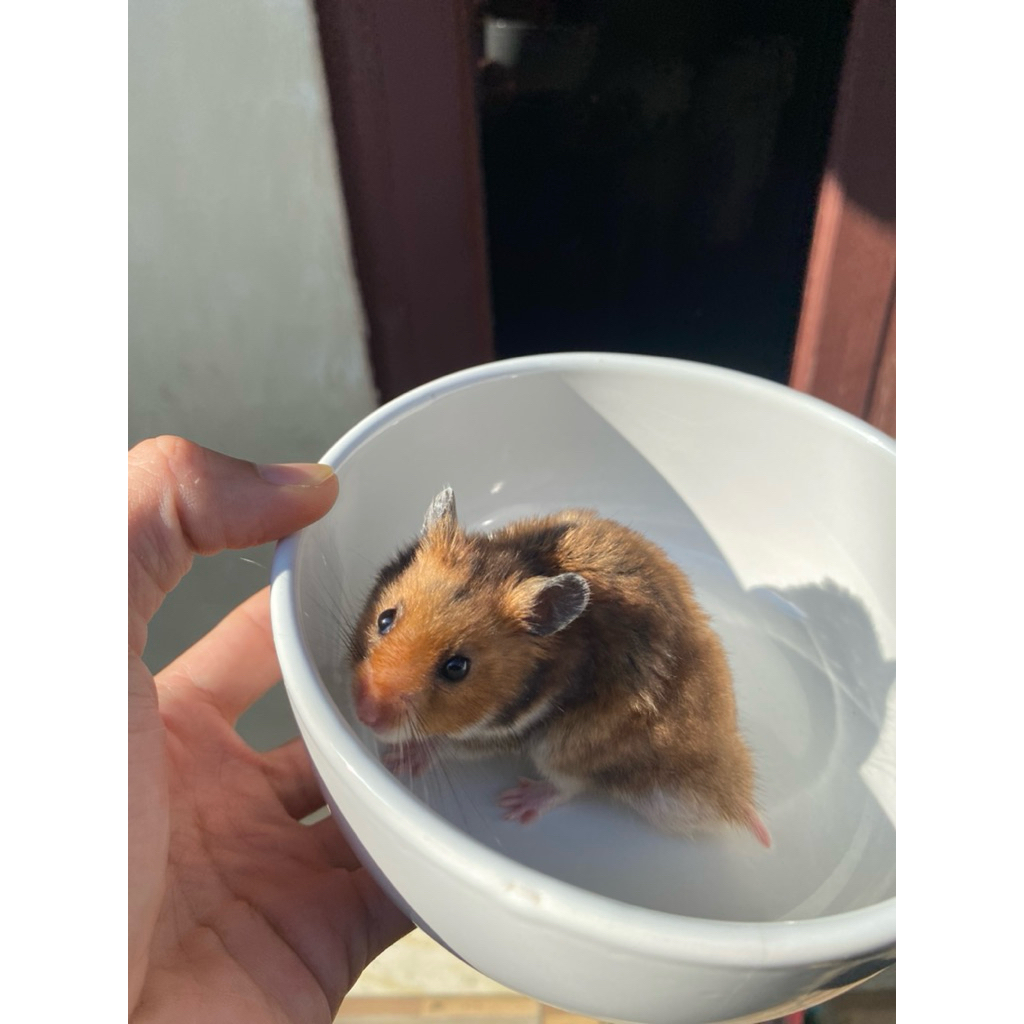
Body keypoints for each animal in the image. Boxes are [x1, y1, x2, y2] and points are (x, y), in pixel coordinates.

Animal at [349, 487, 771, 848]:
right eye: (385, 619)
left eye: (456, 667)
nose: (364, 712)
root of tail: (729, 789)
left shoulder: (510, 730)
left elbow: (446, 743)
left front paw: (399, 761)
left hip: (568, 747)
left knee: (571, 785)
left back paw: (518, 803)